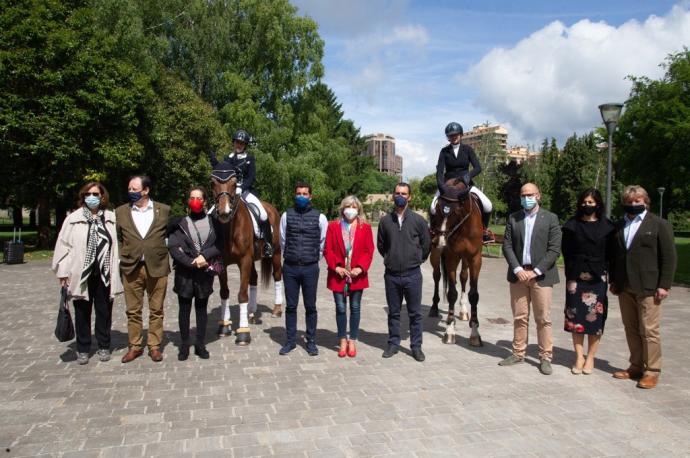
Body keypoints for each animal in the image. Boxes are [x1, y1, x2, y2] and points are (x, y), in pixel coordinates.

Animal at [212, 166, 282, 346]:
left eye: (234, 182)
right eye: (212, 182)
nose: (224, 212)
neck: (230, 229)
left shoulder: (244, 260)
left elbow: (242, 294)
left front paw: (243, 333)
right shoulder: (223, 263)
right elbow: (224, 292)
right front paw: (224, 326)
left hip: (276, 253)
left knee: (277, 276)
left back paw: (277, 310)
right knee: (254, 279)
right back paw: (251, 312)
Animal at [428, 180, 482, 348]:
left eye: (456, 211)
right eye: (437, 208)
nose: (440, 240)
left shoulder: (475, 258)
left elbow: (473, 294)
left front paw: (475, 333)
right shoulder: (451, 257)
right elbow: (452, 293)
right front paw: (450, 331)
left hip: (464, 259)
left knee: (464, 277)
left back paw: (464, 311)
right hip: (436, 255)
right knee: (437, 276)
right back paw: (434, 308)